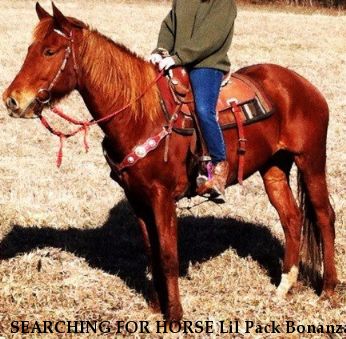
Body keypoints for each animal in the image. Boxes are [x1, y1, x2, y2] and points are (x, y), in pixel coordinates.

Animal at [3, 2, 338, 322]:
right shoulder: (137, 198)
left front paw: (174, 316)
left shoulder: (162, 198)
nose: (12, 100)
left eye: (49, 51)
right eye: (30, 48)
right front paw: (155, 305)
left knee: (324, 217)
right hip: (274, 168)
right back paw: (285, 285)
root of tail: (303, 85)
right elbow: (151, 252)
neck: (140, 114)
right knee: (291, 218)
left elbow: (168, 256)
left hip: (311, 161)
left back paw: (329, 289)